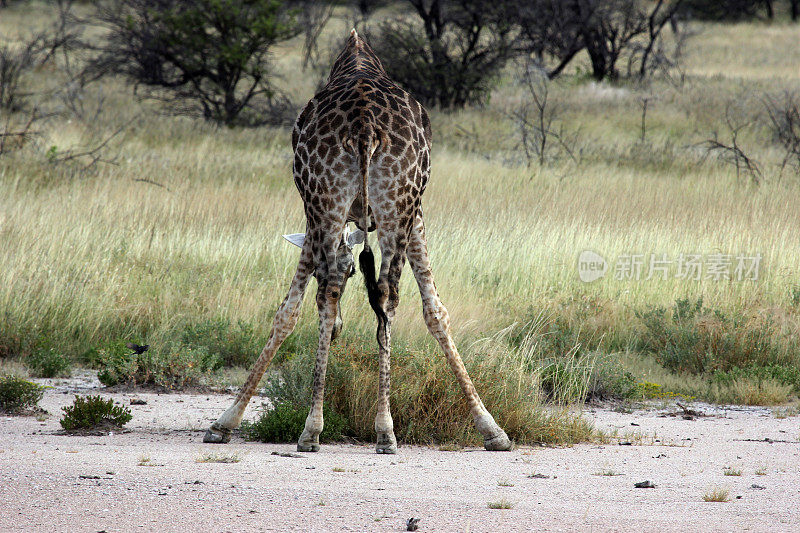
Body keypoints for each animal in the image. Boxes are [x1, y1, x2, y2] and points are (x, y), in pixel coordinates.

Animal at [202, 29, 512, 454]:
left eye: (351, 272)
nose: (339, 331)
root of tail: (365, 126)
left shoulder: (330, 214)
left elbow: (288, 312)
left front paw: (224, 421)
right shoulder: (412, 214)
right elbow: (434, 311)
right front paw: (491, 428)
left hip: (331, 203)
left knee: (333, 298)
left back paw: (315, 431)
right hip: (384, 205)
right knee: (384, 295)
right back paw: (381, 430)